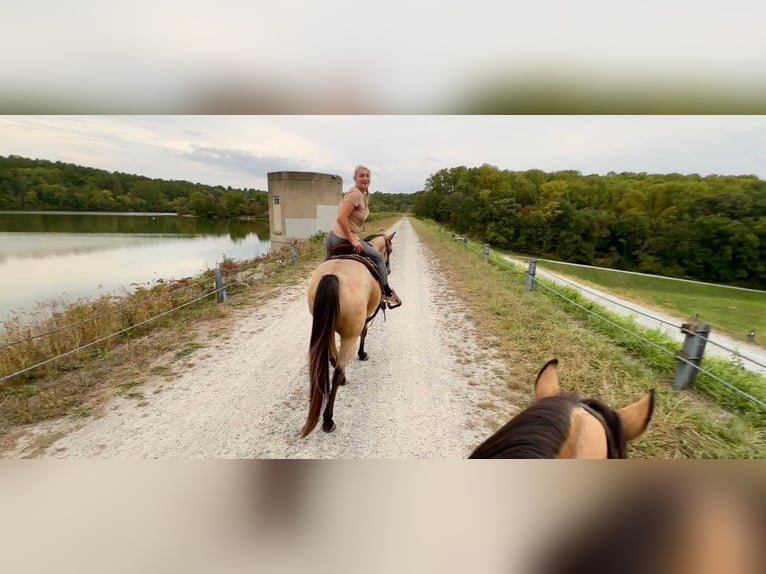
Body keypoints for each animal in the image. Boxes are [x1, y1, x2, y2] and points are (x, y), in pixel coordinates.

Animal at [300, 232, 396, 438]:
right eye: (390, 249)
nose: (389, 269)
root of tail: (332, 276)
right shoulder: (366, 317)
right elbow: (365, 333)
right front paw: (362, 354)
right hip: (349, 336)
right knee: (338, 371)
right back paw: (328, 419)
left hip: (326, 329)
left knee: (331, 357)